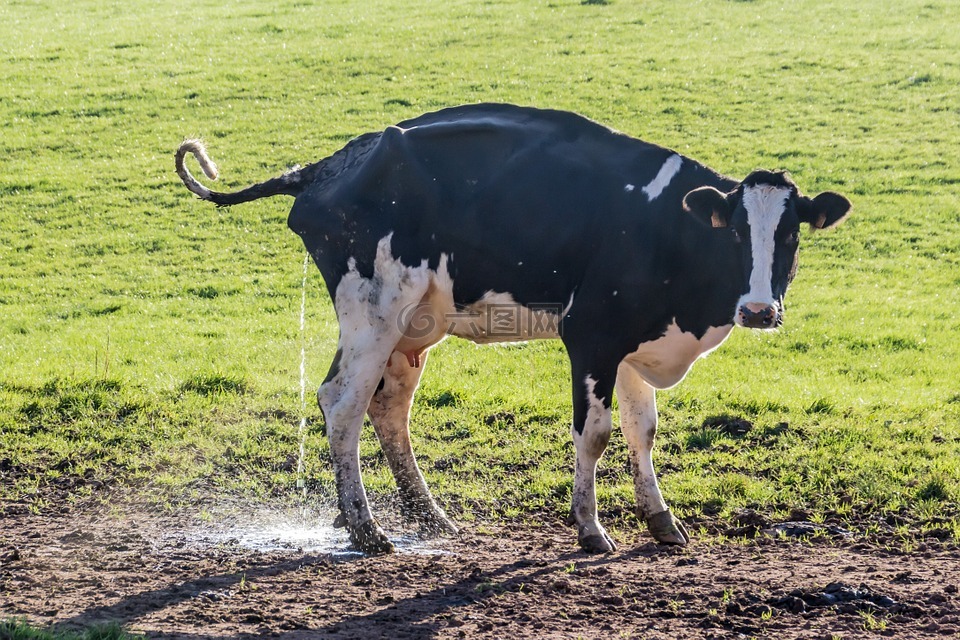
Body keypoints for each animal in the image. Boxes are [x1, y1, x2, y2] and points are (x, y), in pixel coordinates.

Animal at [176, 102, 852, 552]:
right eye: (735, 232)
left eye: (790, 235)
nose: (759, 310)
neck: (664, 231)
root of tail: (330, 164)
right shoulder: (590, 337)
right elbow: (596, 434)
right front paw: (590, 529)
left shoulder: (632, 343)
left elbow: (643, 430)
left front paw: (661, 522)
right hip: (372, 314)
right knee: (342, 403)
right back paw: (367, 528)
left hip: (413, 327)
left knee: (388, 408)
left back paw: (426, 517)